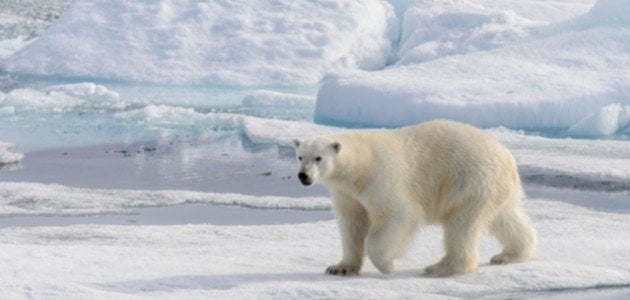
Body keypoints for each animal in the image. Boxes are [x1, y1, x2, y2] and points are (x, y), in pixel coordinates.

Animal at [296, 119, 540, 276]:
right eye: (300, 156)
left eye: (318, 158)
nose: (303, 176)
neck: (360, 165)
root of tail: (507, 157)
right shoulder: (347, 193)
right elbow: (352, 223)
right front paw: (340, 267)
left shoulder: (382, 178)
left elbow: (398, 214)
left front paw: (386, 266)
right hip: (494, 189)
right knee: (505, 218)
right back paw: (509, 254)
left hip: (470, 181)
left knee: (462, 225)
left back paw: (440, 268)